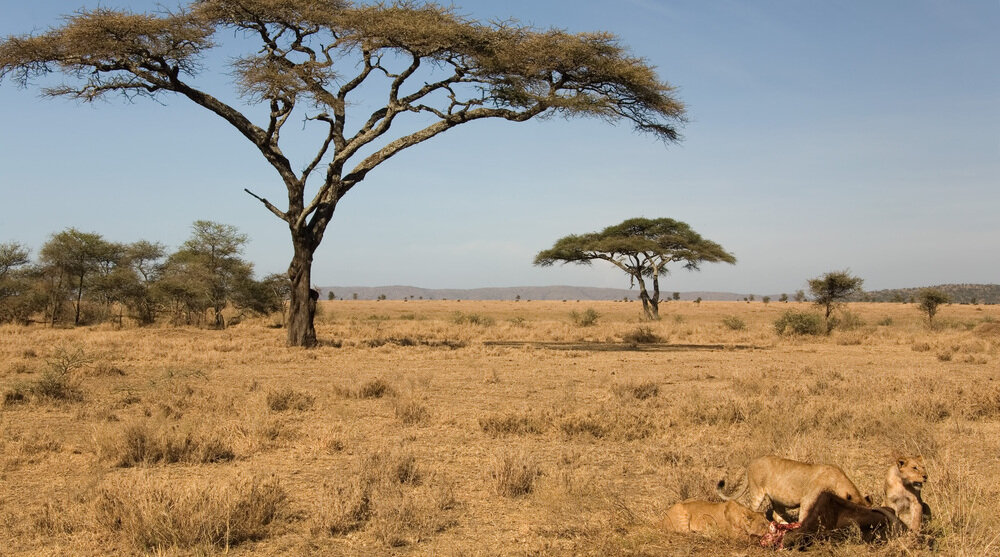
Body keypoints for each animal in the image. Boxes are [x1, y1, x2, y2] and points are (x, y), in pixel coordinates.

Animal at [716, 454, 872, 524]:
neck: (837, 481)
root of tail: (750, 463)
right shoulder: (807, 500)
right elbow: (803, 517)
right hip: (757, 491)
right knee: (752, 510)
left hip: (776, 498)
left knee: (777, 514)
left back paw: (785, 526)